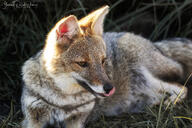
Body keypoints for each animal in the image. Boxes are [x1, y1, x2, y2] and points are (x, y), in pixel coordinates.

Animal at [21, 5, 192, 128]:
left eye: (103, 61)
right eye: (82, 64)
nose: (110, 88)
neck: (63, 102)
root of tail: (155, 44)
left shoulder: (77, 120)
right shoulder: (33, 118)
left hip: (145, 73)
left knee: (183, 87)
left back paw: (171, 102)